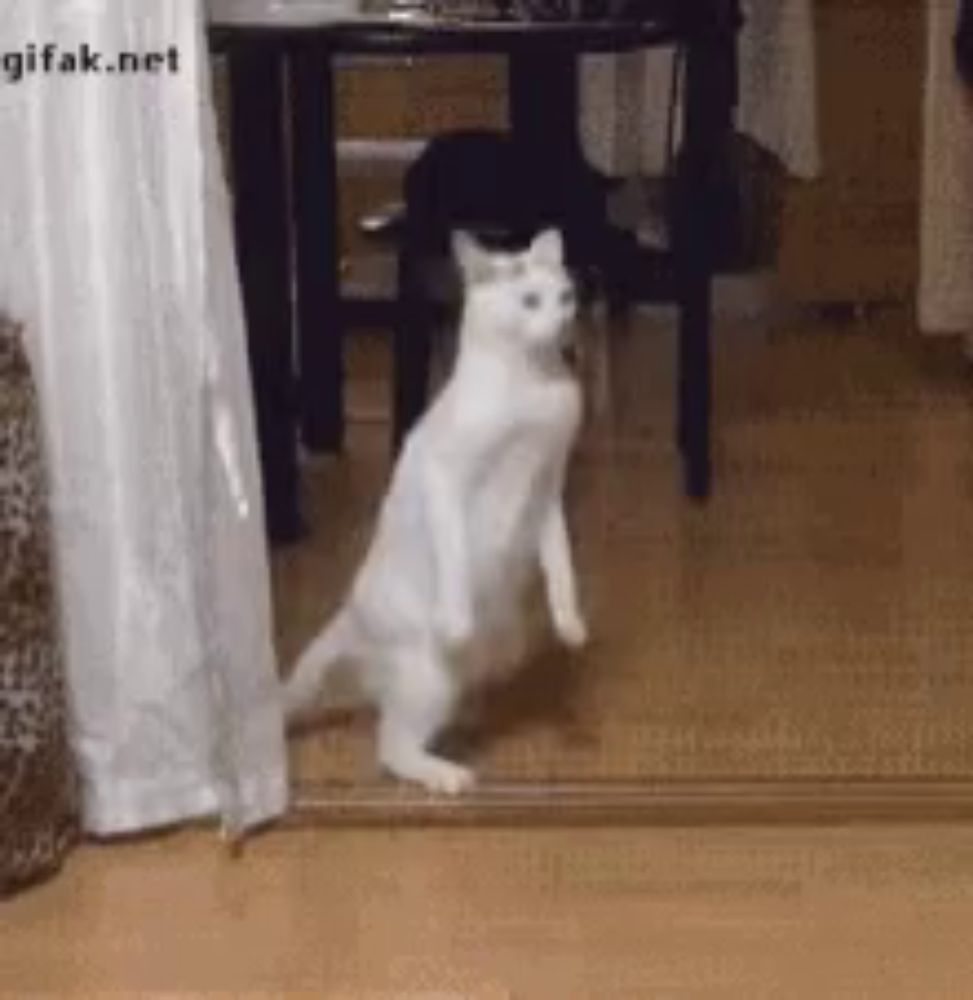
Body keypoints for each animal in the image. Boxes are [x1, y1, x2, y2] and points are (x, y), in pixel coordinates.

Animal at [280, 229, 584, 796]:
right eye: (529, 301)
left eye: (565, 296)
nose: (563, 321)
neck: (533, 385)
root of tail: (351, 612)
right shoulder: (446, 477)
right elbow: (455, 555)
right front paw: (457, 618)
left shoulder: (550, 489)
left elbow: (561, 565)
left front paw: (570, 622)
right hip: (427, 676)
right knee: (391, 745)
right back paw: (446, 774)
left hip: (494, 653)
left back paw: (465, 723)